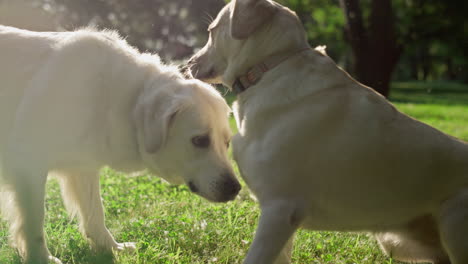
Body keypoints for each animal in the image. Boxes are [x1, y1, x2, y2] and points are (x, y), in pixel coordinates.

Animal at [0, 25, 239, 264]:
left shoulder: (83, 167)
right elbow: (35, 222)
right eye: (200, 141)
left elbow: (95, 213)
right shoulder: (29, 164)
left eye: (227, 143)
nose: (236, 188)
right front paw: (41, 257)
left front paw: (112, 248)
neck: (115, 99)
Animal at [187, 0, 468, 264]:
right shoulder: (281, 221)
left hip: (452, 228)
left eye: (211, 31)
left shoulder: (280, 208)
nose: (188, 63)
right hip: (400, 243)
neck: (271, 67)